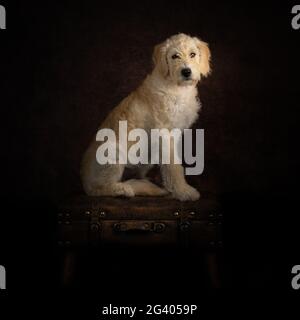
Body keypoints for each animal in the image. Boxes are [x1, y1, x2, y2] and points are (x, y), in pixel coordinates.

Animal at [79, 33, 211, 201]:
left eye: (193, 54)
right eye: (175, 56)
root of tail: (84, 182)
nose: (186, 71)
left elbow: (170, 165)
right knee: (101, 188)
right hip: (113, 152)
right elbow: (174, 166)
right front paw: (183, 192)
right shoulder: (164, 134)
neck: (175, 86)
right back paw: (125, 189)